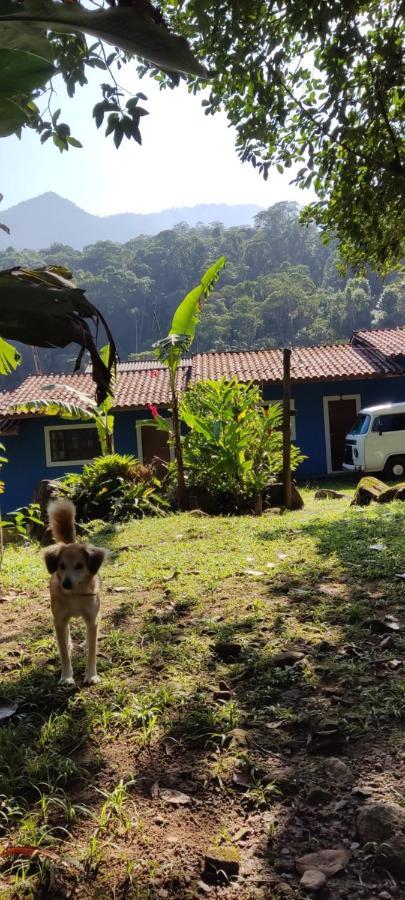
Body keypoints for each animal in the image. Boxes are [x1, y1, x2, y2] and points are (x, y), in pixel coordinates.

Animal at [43, 502, 105, 684]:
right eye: (61, 566)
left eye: (79, 566)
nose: (66, 583)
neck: (76, 595)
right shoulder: (59, 620)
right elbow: (64, 652)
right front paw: (67, 676)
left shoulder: (92, 618)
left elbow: (92, 650)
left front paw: (91, 674)